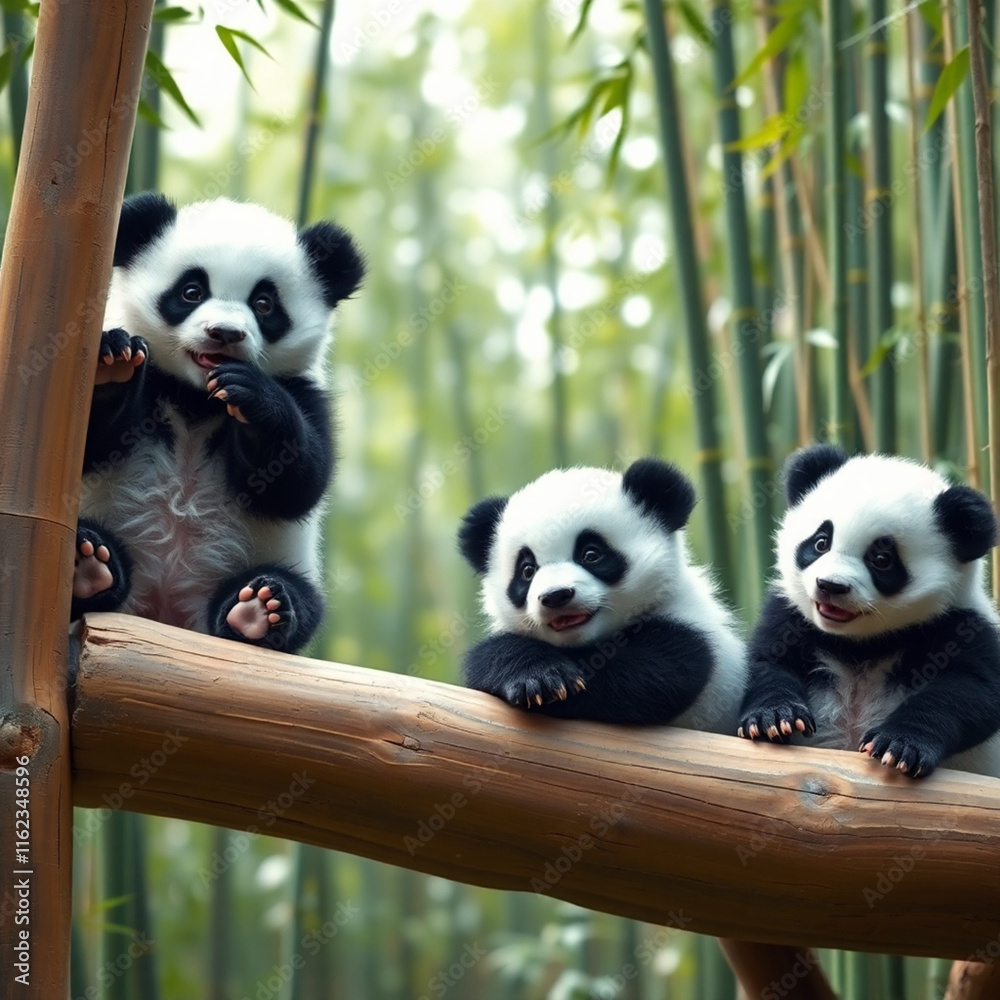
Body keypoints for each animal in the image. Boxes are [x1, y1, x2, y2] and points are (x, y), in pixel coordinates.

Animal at [71, 192, 365, 653]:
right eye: (192, 291)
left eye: (264, 303)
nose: (224, 332)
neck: (198, 399)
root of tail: (166, 612)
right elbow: (85, 444)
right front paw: (113, 364)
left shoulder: (305, 393)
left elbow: (298, 483)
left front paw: (253, 397)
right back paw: (88, 562)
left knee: (297, 596)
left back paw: (259, 610)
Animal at [457, 458, 746, 732]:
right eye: (527, 570)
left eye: (591, 554)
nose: (556, 596)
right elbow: (491, 656)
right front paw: (535, 677)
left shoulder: (690, 628)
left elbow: (643, 677)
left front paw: (553, 684)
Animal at [738, 443, 1000, 777]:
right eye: (821, 542)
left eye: (882, 559)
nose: (830, 585)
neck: (859, 643)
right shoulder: (789, 614)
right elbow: (767, 662)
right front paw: (773, 717)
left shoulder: (961, 624)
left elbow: (971, 690)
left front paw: (900, 744)